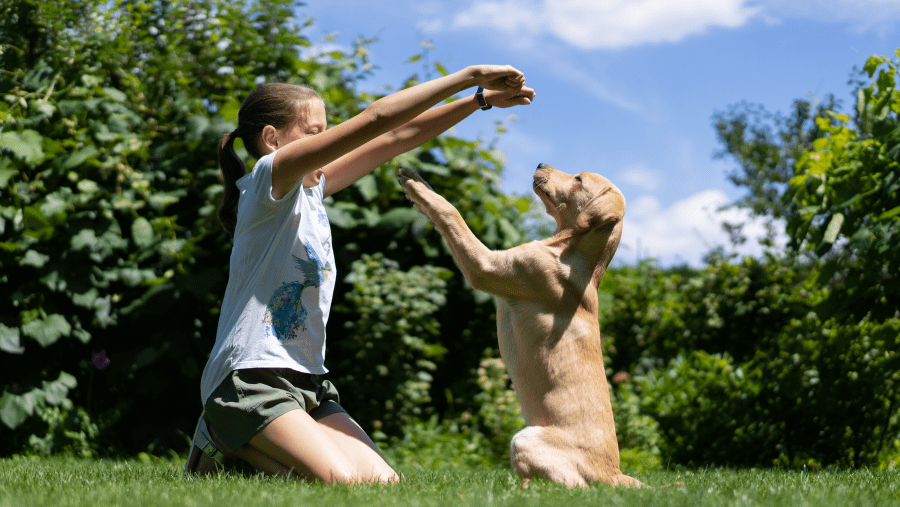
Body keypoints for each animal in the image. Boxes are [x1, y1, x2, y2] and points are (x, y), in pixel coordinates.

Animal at [398, 163, 636, 488]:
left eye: (578, 179)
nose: (540, 165)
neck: (570, 251)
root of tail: (612, 473)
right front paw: (418, 181)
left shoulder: (486, 265)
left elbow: (450, 212)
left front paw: (414, 184)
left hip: (525, 440)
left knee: (572, 486)